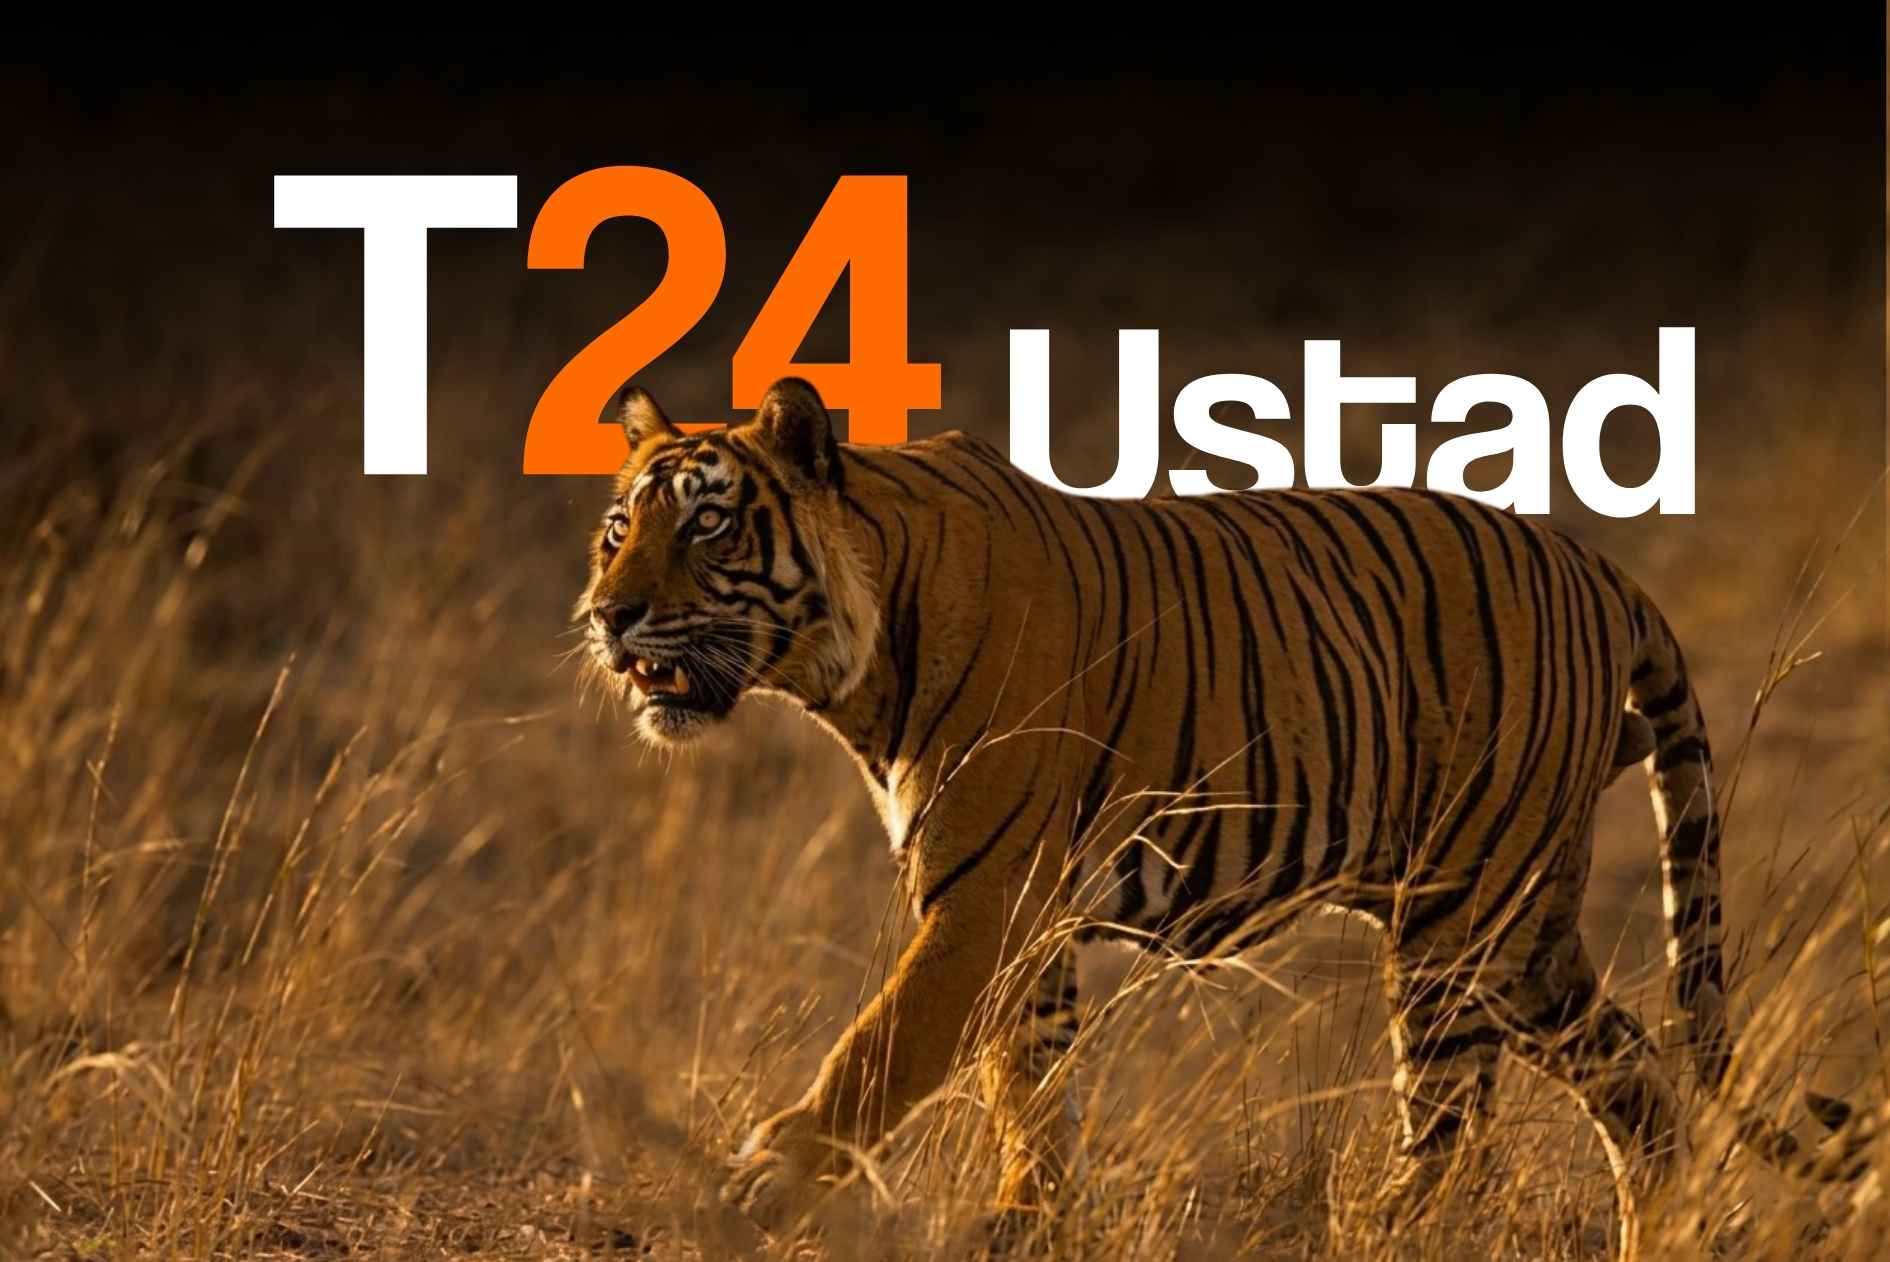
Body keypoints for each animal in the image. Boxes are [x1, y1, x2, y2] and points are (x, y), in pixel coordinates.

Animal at [576, 377, 1873, 1255]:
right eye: (617, 529)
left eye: (707, 522)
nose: (605, 614)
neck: (858, 657)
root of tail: (1604, 566)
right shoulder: (1027, 921)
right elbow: (1030, 1086)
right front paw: (1031, 1219)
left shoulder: (981, 900)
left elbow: (880, 1051)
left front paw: (762, 1186)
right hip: (1525, 933)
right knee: (1637, 1080)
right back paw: (1656, 1234)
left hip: (1459, 921)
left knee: (1459, 1132)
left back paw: (1379, 1229)